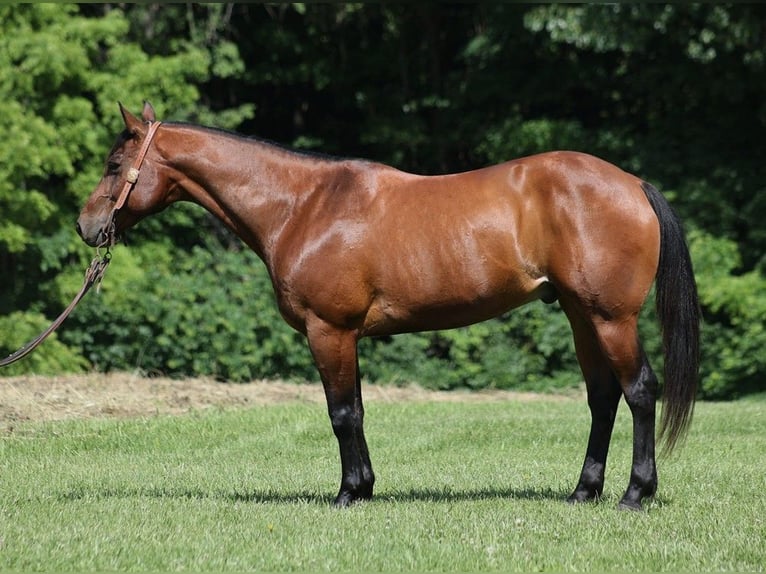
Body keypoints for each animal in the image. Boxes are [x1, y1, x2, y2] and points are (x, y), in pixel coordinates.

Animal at [78, 101, 704, 510]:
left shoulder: (328, 330)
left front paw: (347, 495)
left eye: (114, 166)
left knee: (638, 390)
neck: (303, 205)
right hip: (579, 315)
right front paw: (364, 487)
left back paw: (634, 494)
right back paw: (583, 492)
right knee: (602, 398)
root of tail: (632, 183)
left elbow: (341, 413)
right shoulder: (344, 336)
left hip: (610, 318)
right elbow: (355, 409)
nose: (86, 227)